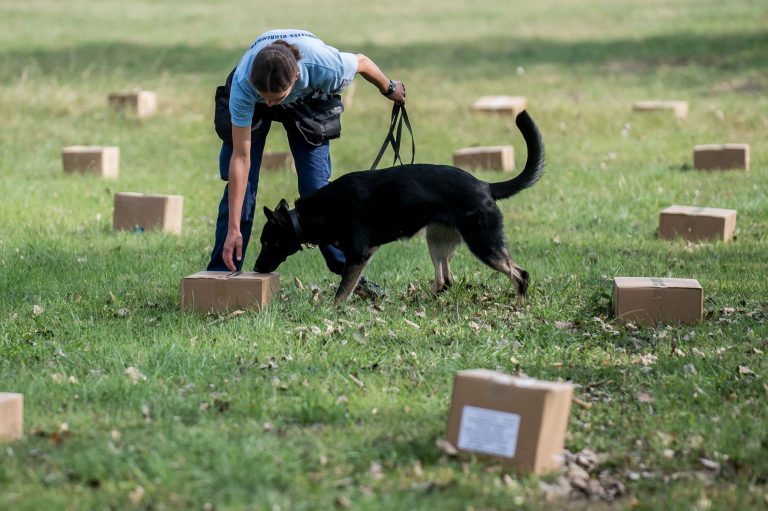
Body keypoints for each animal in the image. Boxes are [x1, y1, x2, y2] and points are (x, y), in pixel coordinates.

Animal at [255, 110, 544, 306]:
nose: (257, 269)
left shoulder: (359, 255)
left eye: (268, 243)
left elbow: (342, 292)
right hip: (436, 239)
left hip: (483, 244)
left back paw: (518, 305)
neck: (310, 215)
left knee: (521, 274)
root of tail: (485, 185)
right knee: (444, 280)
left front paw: (332, 313)